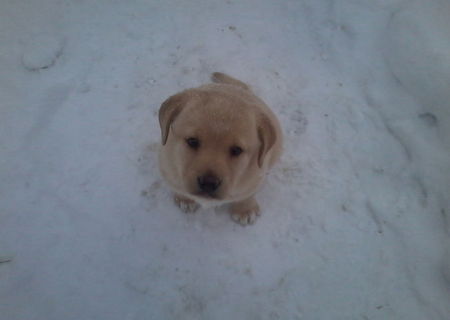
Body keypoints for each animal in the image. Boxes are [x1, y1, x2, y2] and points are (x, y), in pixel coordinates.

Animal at [158, 72, 282, 225]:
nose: (208, 183)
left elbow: (247, 194)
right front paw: (184, 199)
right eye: (192, 141)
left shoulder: (255, 177)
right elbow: (178, 186)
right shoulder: (168, 167)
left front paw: (245, 209)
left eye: (237, 150)